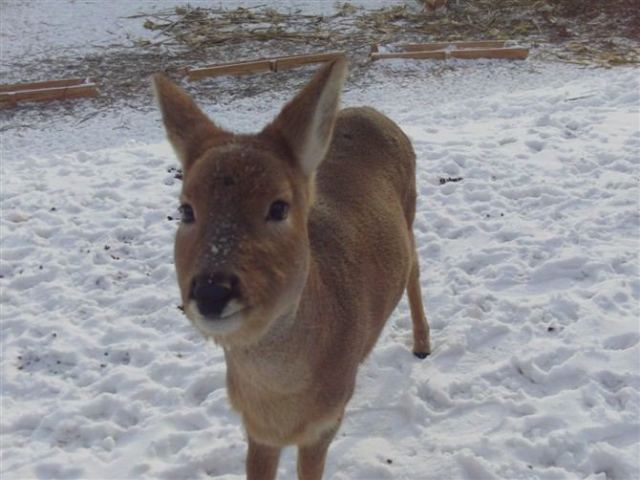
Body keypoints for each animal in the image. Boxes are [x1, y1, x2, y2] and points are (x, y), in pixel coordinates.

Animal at [152, 57, 430, 480]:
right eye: (185, 209)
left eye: (279, 206)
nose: (212, 291)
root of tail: (374, 113)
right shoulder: (255, 428)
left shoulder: (324, 424)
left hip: (412, 209)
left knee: (414, 269)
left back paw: (422, 345)